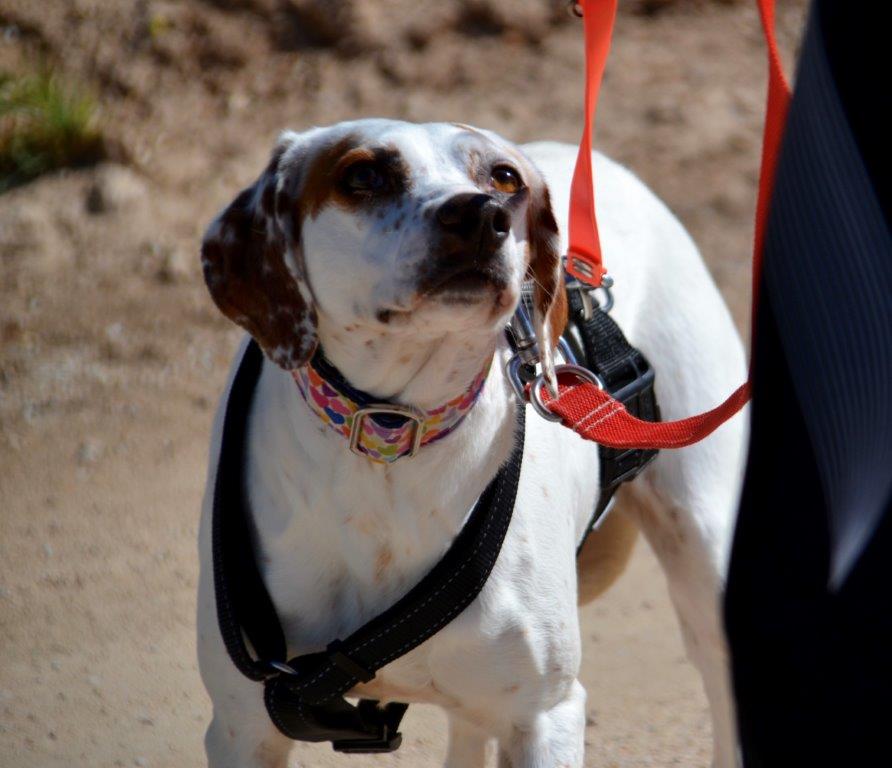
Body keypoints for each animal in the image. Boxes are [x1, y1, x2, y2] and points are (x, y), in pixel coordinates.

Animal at [197, 117, 744, 764]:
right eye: (363, 175)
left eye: (504, 177)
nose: (483, 216)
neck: (393, 434)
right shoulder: (244, 725)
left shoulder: (546, 715)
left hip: (706, 555)